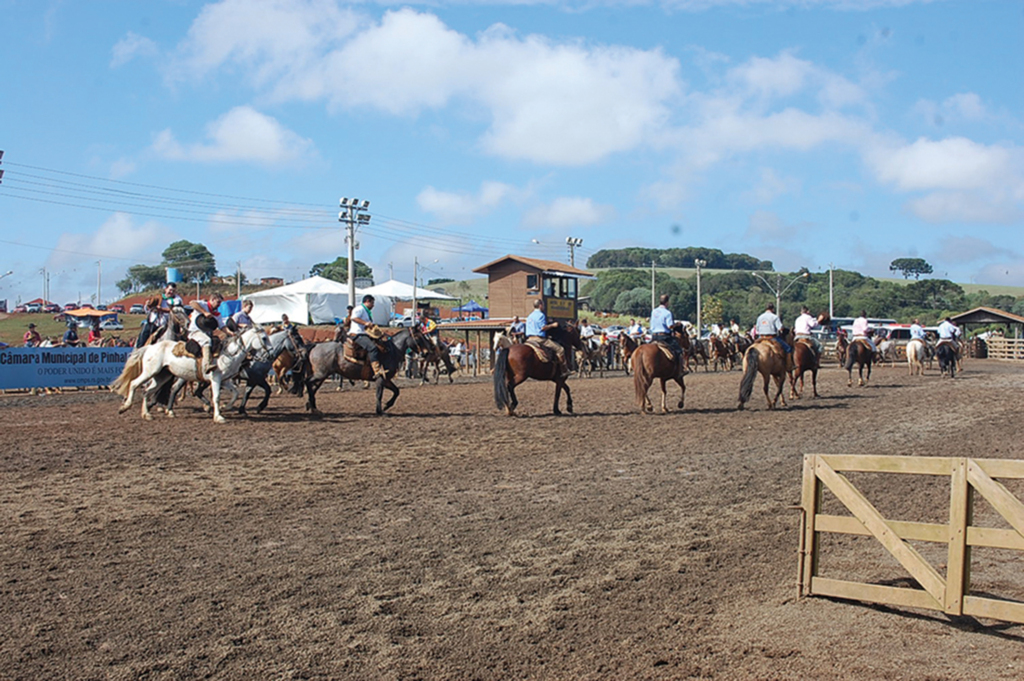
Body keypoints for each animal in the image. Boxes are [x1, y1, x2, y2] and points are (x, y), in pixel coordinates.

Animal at [113, 325, 270, 426]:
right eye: (264, 338)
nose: (268, 354)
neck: (229, 353)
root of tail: (150, 347)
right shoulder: (215, 379)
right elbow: (216, 397)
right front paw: (218, 417)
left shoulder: (225, 380)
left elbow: (236, 393)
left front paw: (227, 407)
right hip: (150, 372)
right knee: (134, 384)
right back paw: (125, 407)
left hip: (162, 376)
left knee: (147, 391)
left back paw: (147, 414)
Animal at [303, 325, 432, 413]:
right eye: (418, 337)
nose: (426, 353)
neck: (392, 350)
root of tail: (315, 345)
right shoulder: (381, 379)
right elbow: (379, 394)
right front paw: (380, 411)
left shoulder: (386, 379)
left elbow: (396, 391)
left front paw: (387, 405)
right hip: (320, 374)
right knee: (307, 382)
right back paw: (312, 406)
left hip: (321, 375)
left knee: (313, 388)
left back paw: (312, 406)